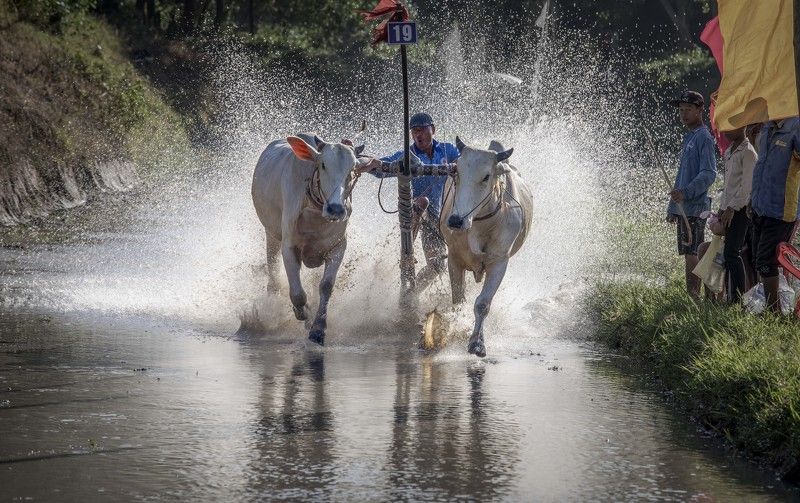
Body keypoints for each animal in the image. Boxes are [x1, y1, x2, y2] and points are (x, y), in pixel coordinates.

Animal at [251, 133, 370, 346]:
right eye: (323, 164)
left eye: (353, 169)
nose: (336, 209)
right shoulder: (289, 246)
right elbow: (297, 294)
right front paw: (304, 313)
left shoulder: (338, 247)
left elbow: (325, 286)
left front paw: (318, 329)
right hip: (270, 235)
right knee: (272, 274)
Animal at [440, 137, 533, 357]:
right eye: (456, 171)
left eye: (486, 176)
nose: (456, 220)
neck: (479, 223)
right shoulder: (454, 258)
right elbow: (458, 301)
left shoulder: (499, 262)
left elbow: (482, 304)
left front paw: (477, 343)